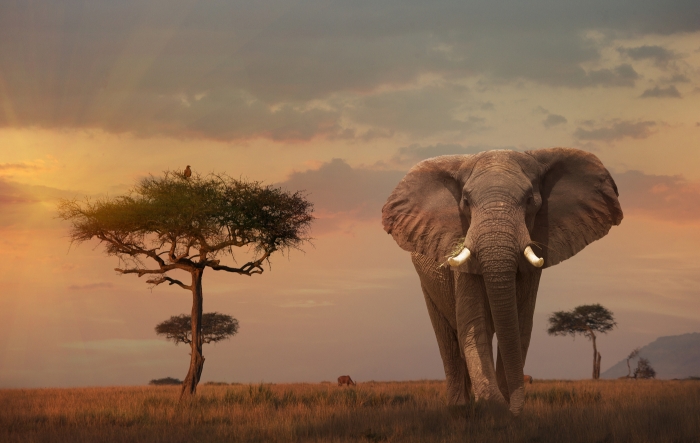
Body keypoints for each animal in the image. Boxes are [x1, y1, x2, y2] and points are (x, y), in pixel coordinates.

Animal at [382, 148, 622, 415]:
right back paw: (459, 408)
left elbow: (520, 325)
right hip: (427, 281)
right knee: (448, 338)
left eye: (529, 200)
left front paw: (505, 410)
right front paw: (492, 406)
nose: (513, 409)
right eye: (466, 202)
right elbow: (475, 323)